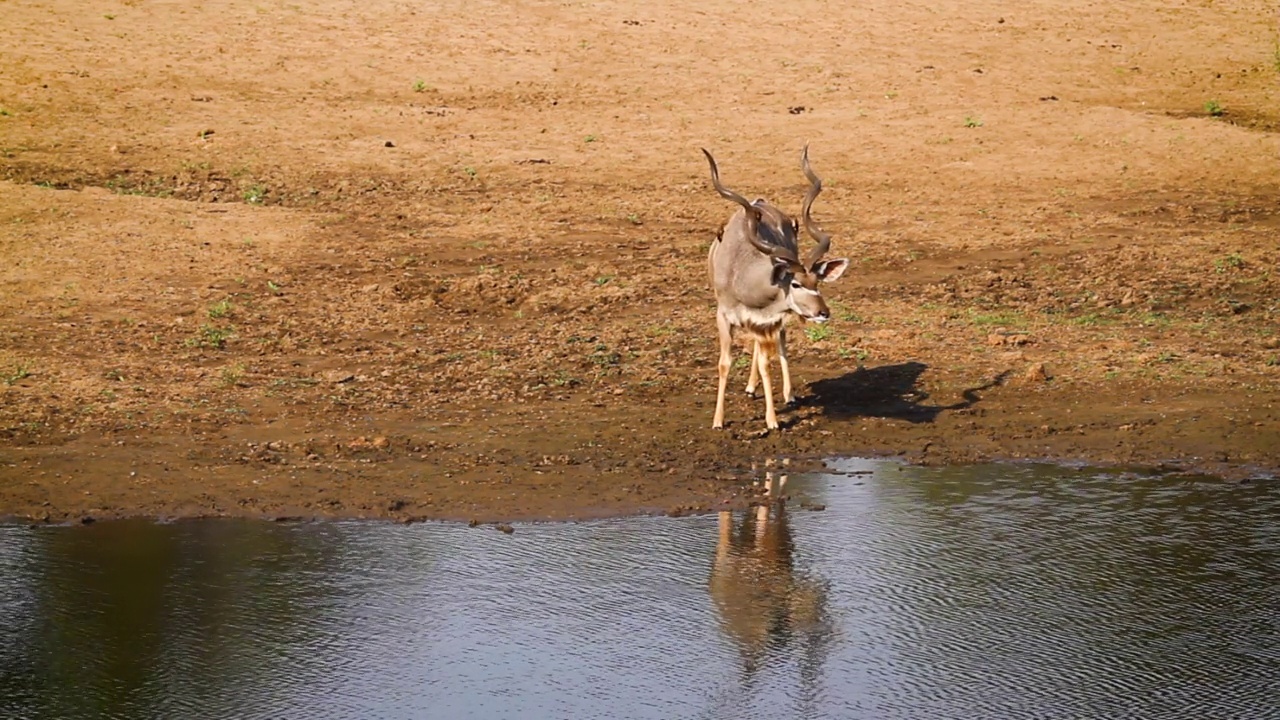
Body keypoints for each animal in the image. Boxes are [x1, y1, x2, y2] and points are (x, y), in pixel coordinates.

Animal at [706, 142, 844, 427]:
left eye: (817, 281)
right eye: (796, 284)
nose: (823, 313)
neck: (740, 271)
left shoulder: (764, 321)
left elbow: (765, 363)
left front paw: (772, 420)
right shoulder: (724, 316)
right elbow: (725, 363)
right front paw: (718, 420)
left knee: (777, 347)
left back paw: (786, 394)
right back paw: (750, 388)